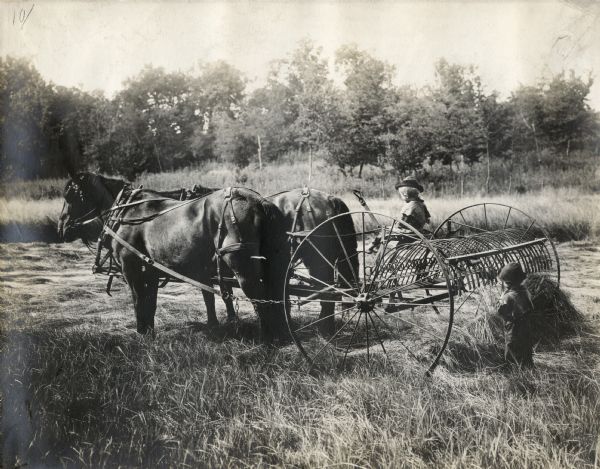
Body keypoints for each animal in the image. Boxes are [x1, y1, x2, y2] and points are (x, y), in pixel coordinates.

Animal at [58, 173, 290, 340]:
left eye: (69, 196)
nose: (61, 227)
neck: (126, 212)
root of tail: (259, 201)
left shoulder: (131, 269)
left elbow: (137, 301)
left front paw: (141, 333)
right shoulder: (150, 271)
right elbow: (150, 303)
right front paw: (149, 333)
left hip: (242, 267)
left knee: (260, 298)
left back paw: (267, 338)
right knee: (277, 293)